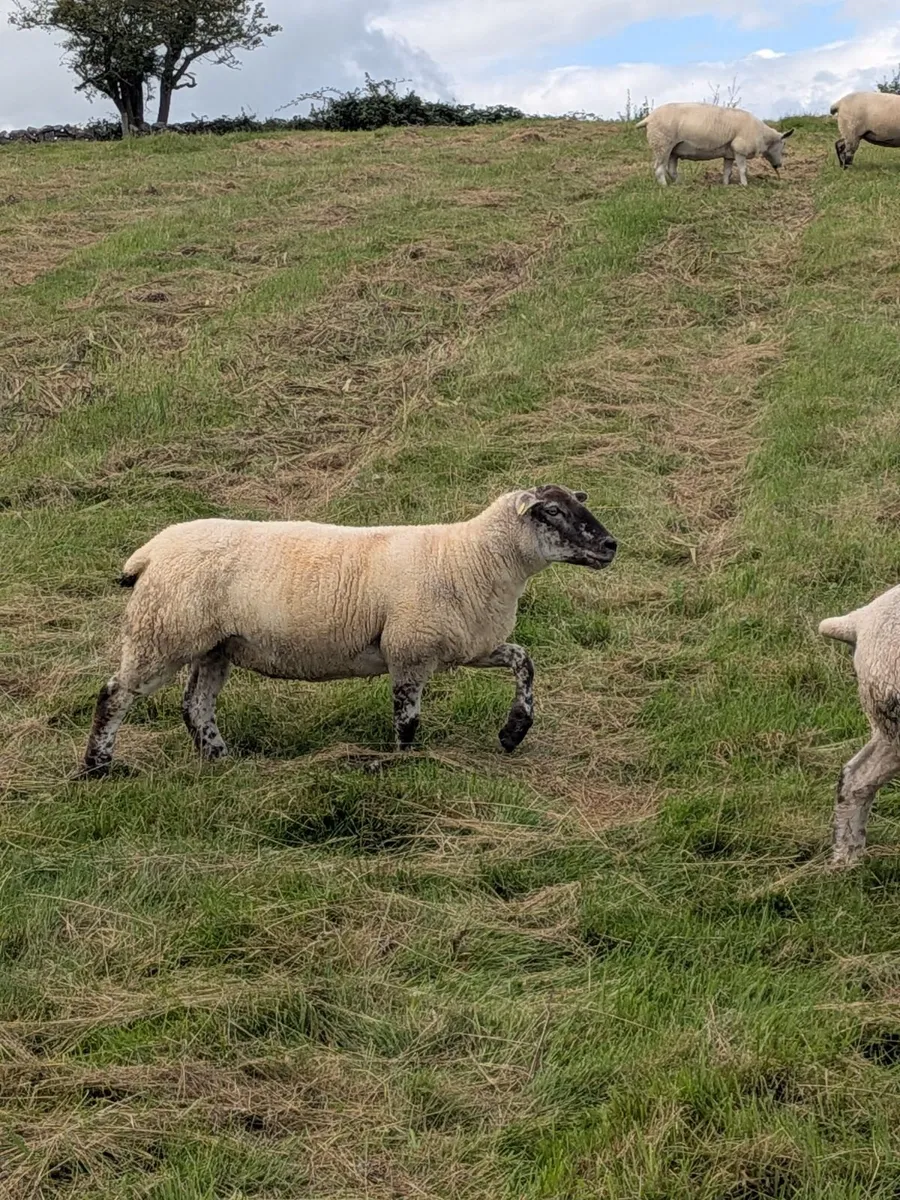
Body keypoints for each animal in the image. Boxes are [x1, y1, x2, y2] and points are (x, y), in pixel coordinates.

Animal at [79, 486, 617, 776]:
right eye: (553, 511)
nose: (611, 545)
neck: (473, 556)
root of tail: (151, 551)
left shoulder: (468, 644)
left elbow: (524, 661)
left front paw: (513, 732)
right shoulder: (410, 649)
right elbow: (407, 720)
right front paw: (401, 765)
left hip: (214, 646)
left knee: (195, 705)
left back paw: (220, 758)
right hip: (163, 632)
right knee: (115, 694)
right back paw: (97, 768)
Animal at [637, 103, 794, 187]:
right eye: (783, 144)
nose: (779, 165)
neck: (763, 135)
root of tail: (649, 118)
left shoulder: (729, 154)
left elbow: (727, 171)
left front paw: (725, 185)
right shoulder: (739, 149)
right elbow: (743, 170)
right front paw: (744, 184)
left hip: (673, 150)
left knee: (671, 170)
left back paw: (680, 184)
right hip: (662, 145)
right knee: (659, 169)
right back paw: (665, 186)